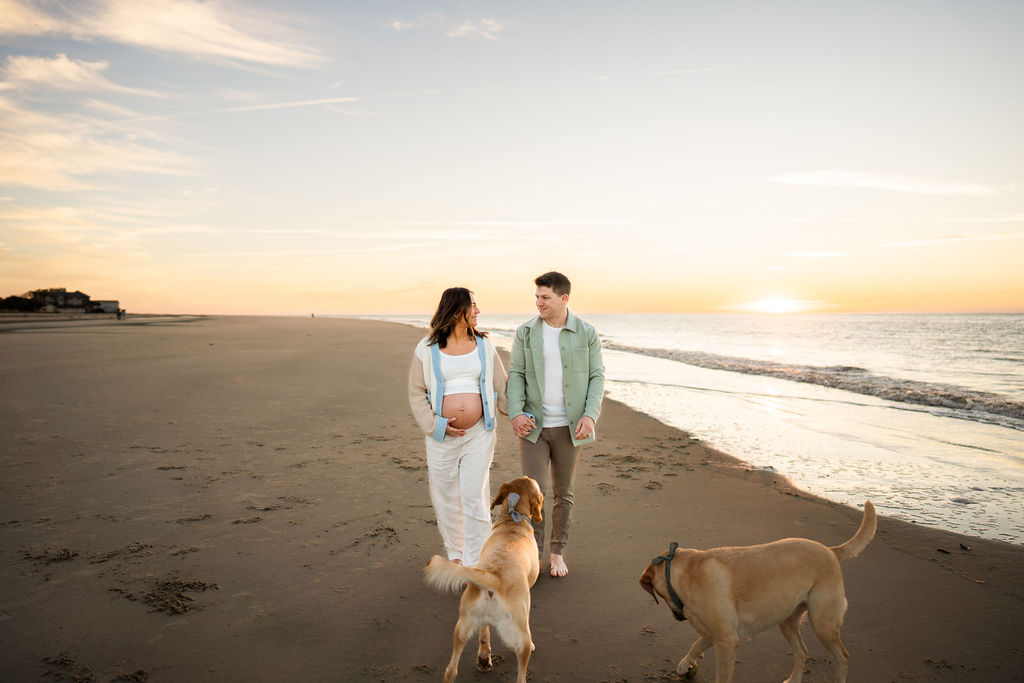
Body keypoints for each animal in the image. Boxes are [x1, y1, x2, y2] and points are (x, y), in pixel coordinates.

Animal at [423, 475, 544, 683]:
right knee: (521, 674)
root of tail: (494, 578)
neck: (513, 520)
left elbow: (484, 632)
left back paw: (479, 660)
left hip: (462, 626)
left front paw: (484, 655)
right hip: (522, 636)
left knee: (451, 670)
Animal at [638, 499, 872, 679]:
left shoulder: (726, 640)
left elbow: (720, 673)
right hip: (787, 620)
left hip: (823, 623)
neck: (685, 573)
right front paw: (685, 664)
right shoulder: (719, 633)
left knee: (842, 656)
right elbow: (697, 643)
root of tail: (832, 551)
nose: (678, 617)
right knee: (802, 652)